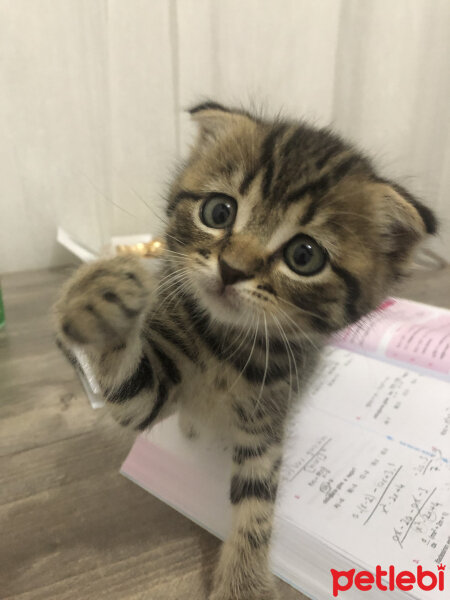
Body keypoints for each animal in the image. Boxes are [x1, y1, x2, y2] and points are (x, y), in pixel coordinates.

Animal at [54, 101, 438, 596]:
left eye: (304, 256)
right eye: (219, 211)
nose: (231, 269)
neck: (227, 344)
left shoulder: (268, 415)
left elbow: (258, 496)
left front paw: (245, 581)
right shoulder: (152, 387)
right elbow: (129, 384)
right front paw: (100, 294)